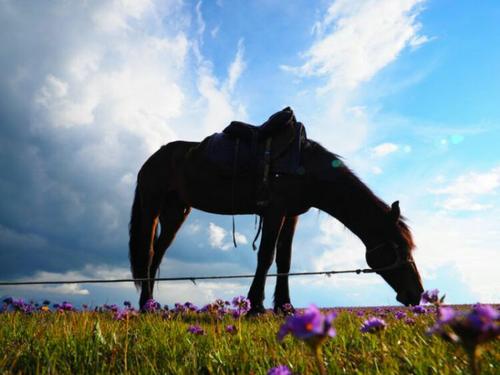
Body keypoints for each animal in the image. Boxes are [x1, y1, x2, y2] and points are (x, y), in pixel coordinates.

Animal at [128, 122, 422, 312]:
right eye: (399, 247)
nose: (417, 293)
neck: (305, 167)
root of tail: (151, 159)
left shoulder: (290, 216)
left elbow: (284, 260)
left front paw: (284, 305)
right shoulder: (274, 211)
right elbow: (266, 256)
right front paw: (255, 306)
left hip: (176, 212)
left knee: (157, 255)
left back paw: (151, 305)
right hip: (152, 207)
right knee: (149, 252)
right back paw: (146, 306)